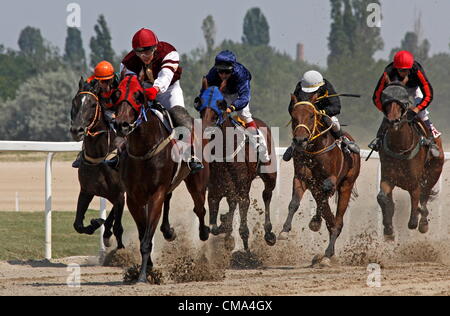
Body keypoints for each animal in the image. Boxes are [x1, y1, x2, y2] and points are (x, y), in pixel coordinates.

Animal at [69, 77, 125, 249]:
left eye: (93, 104)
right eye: (74, 102)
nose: (77, 130)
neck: (100, 158)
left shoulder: (120, 193)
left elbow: (118, 226)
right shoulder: (86, 191)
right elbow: (78, 225)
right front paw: (96, 222)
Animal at [114, 75, 209, 282]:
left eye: (138, 96)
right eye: (116, 93)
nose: (121, 124)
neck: (143, 151)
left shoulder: (155, 194)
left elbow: (147, 239)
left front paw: (142, 276)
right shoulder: (133, 198)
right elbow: (143, 234)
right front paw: (147, 269)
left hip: (196, 181)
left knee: (200, 208)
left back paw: (204, 232)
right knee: (170, 198)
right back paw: (168, 231)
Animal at [197, 83, 278, 252]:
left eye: (220, 105)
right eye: (200, 105)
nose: (205, 130)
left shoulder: (242, 188)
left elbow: (243, 206)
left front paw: (243, 238)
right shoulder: (214, 190)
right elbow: (215, 226)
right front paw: (225, 226)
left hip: (270, 175)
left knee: (267, 195)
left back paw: (269, 233)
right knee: (232, 203)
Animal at [286, 96, 360, 264]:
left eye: (311, 116)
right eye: (294, 116)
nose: (300, 140)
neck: (313, 151)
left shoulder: (330, 180)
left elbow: (326, 190)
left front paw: (315, 221)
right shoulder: (302, 179)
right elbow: (294, 203)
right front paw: (284, 231)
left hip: (347, 184)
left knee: (337, 221)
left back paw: (327, 255)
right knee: (331, 219)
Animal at [376, 84, 442, 239]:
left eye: (401, 105)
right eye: (386, 103)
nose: (393, 121)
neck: (400, 147)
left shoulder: (414, 182)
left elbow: (416, 201)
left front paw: (416, 219)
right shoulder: (388, 178)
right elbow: (382, 197)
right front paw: (388, 229)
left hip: (434, 172)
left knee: (424, 196)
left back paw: (423, 223)